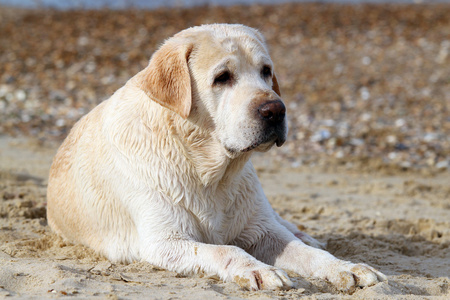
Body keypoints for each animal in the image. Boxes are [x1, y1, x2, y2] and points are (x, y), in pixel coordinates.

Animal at [46, 24, 386, 292]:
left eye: (266, 71)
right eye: (222, 77)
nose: (276, 110)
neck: (208, 172)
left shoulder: (262, 229)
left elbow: (306, 253)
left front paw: (346, 267)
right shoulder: (164, 242)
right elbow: (226, 250)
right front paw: (258, 269)